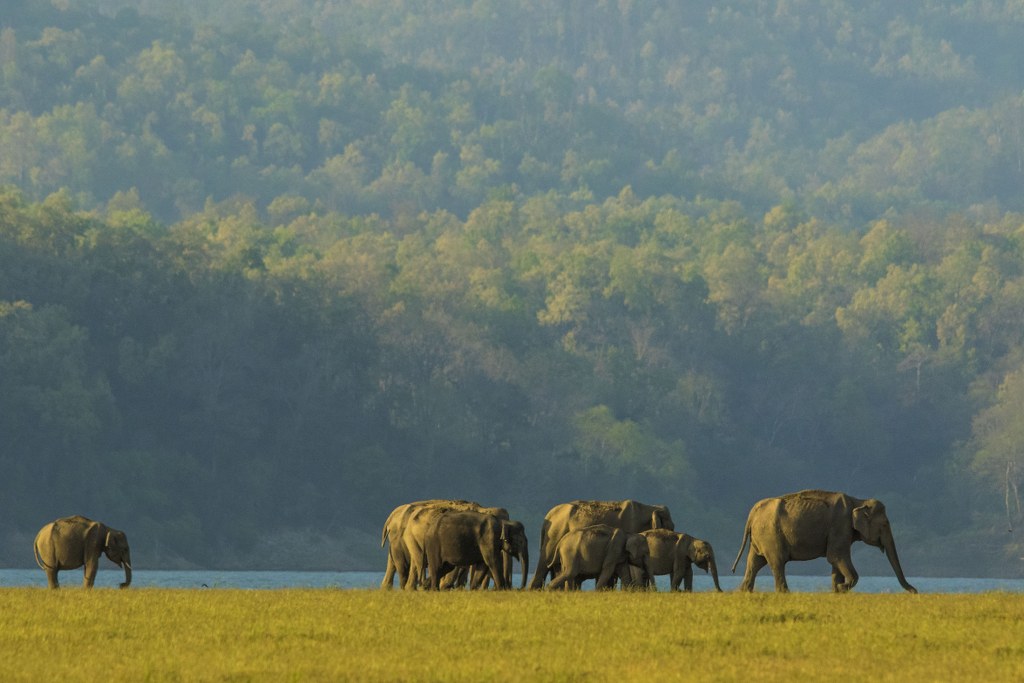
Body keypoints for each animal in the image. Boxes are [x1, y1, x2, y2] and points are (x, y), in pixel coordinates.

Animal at [528, 499, 671, 589]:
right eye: (671, 527)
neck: (650, 507)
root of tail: (548, 516)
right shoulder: (631, 527)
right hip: (554, 536)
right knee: (544, 564)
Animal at [729, 491, 921, 593]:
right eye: (885, 524)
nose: (914, 591)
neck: (858, 500)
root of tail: (752, 513)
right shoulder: (840, 526)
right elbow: (836, 557)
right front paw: (842, 588)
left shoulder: (841, 533)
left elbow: (836, 563)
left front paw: (836, 590)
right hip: (770, 536)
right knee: (777, 563)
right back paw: (785, 593)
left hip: (760, 538)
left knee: (754, 563)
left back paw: (742, 592)